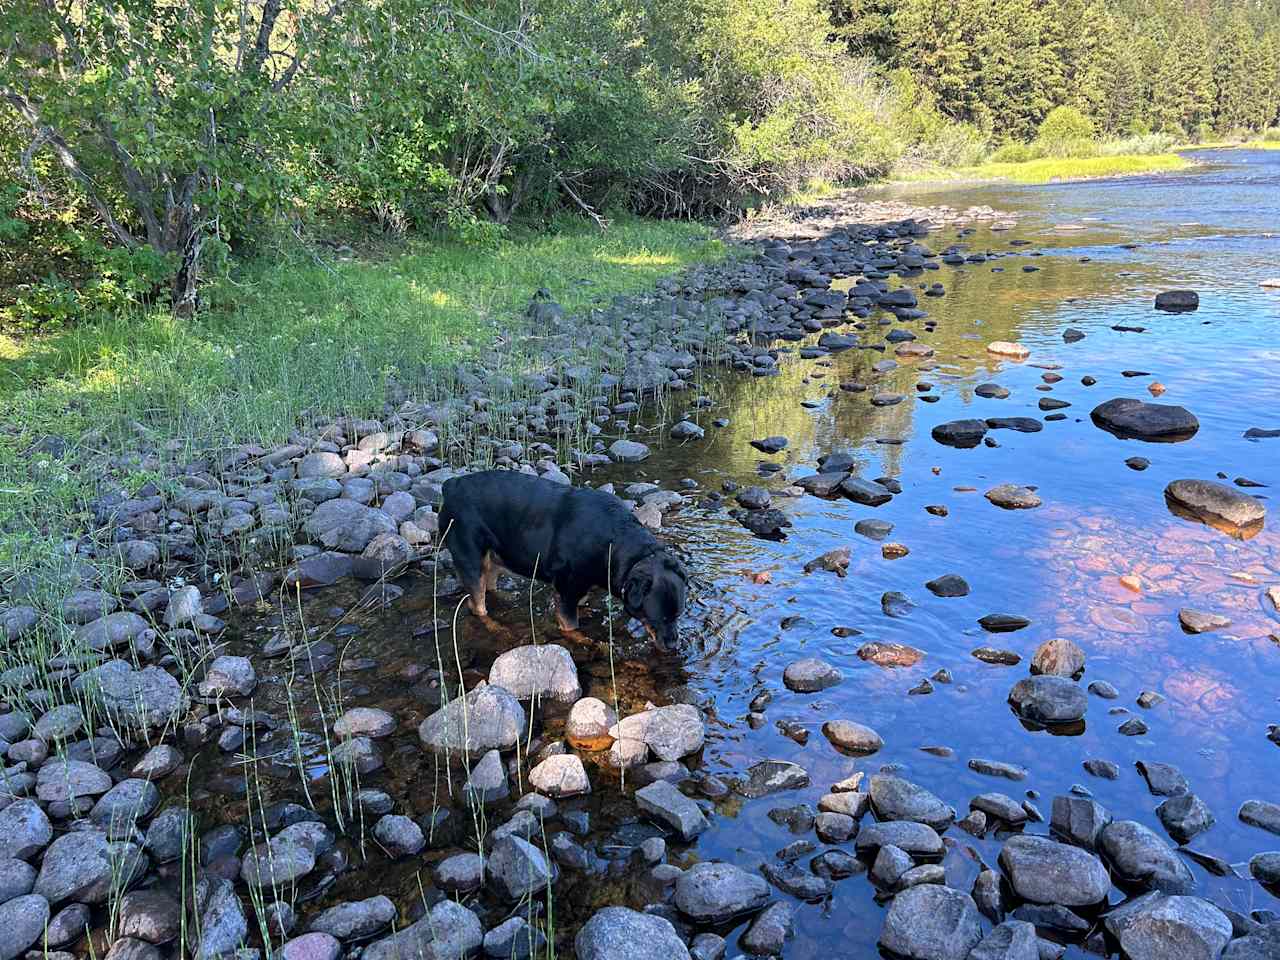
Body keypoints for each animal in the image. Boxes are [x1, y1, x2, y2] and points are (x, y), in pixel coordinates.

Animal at [437, 471, 686, 647]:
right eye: (659, 619)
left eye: (679, 615)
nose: (674, 645)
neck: (614, 543)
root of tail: (450, 485)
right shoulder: (567, 591)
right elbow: (571, 627)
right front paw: (587, 641)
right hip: (470, 558)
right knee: (477, 604)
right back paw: (497, 628)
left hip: (496, 554)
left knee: (490, 584)